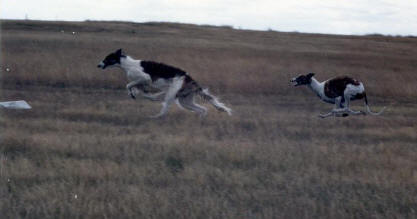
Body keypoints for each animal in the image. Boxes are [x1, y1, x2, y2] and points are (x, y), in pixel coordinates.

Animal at [98, 48, 231, 118]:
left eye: (107, 58)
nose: (98, 65)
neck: (128, 65)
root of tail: (191, 79)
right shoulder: (142, 83)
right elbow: (139, 90)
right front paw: (136, 94)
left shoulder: (145, 78)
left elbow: (129, 85)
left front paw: (135, 94)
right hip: (184, 101)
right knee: (203, 109)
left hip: (173, 94)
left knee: (165, 109)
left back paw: (155, 117)